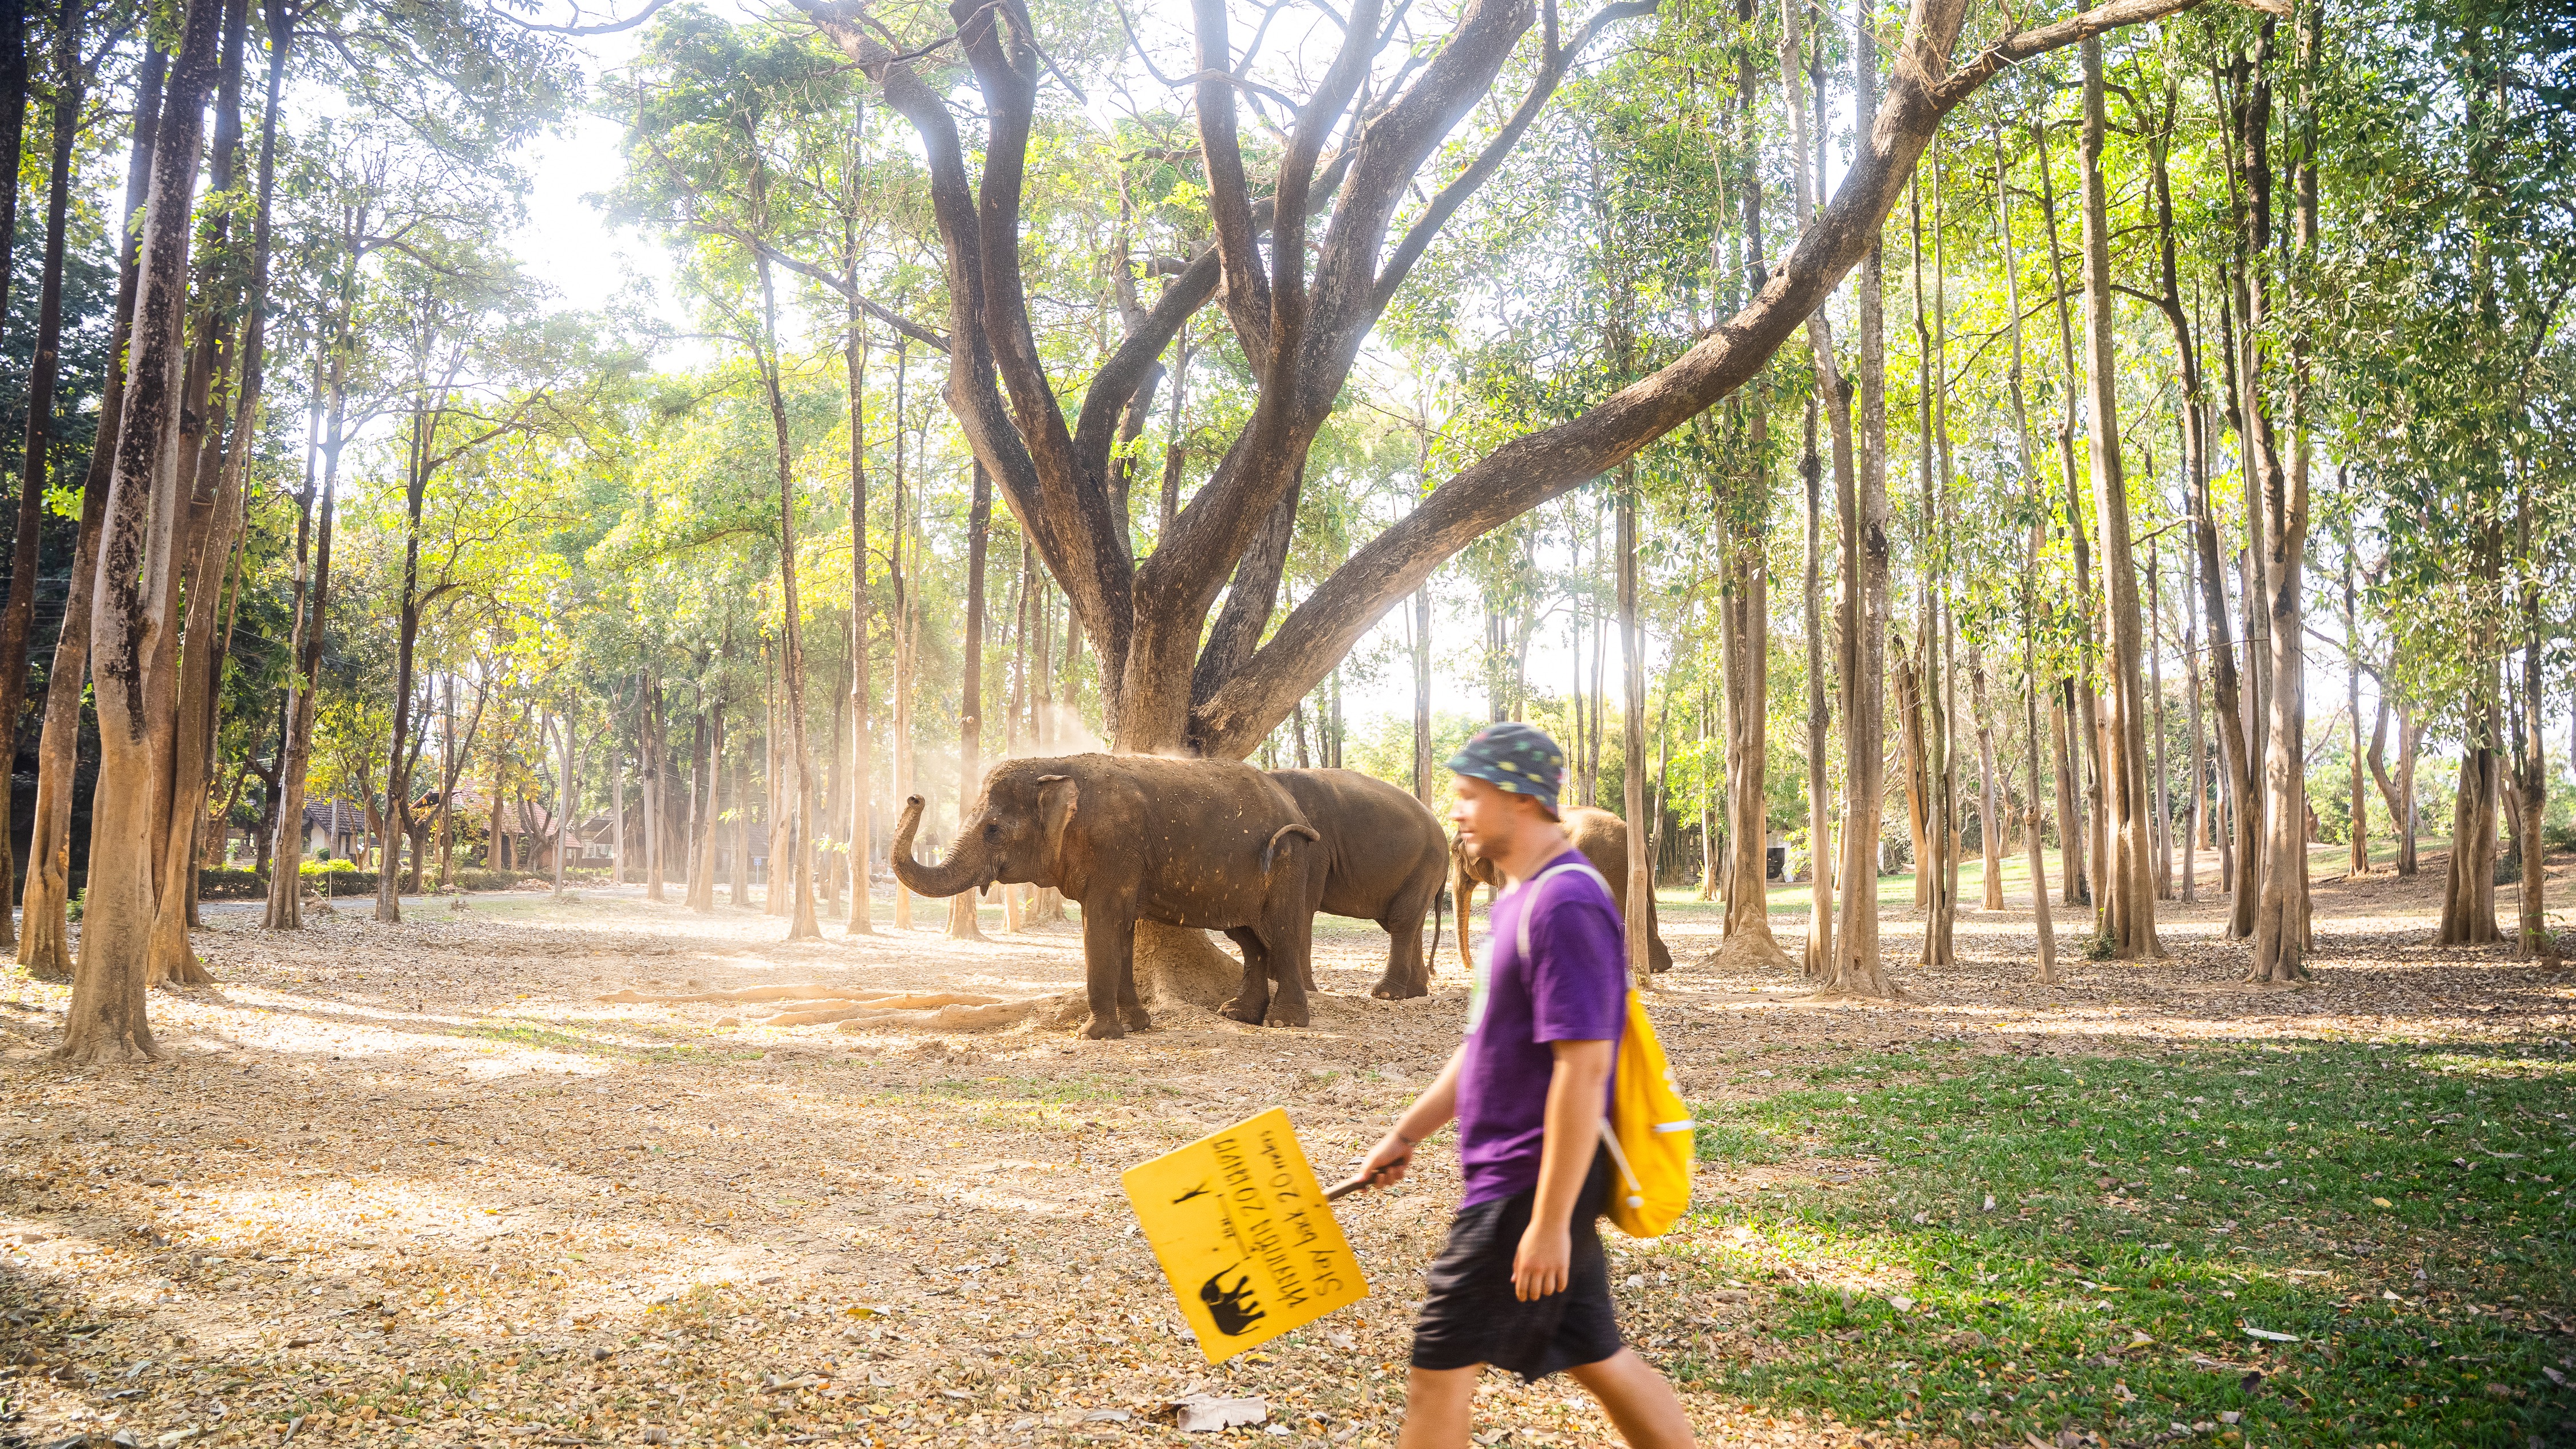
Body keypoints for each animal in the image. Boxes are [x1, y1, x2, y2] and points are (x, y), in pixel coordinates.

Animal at [887, 753, 1322, 1039]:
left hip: (1288, 860)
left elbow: (1101, 925)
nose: (914, 797)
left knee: (1280, 932)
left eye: (993, 830)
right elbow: (1120, 930)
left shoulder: (1116, 849)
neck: (1056, 766)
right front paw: (1134, 1026)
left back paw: (1283, 1023)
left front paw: (1093, 1035)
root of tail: (1295, 807)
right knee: (1250, 938)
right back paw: (1238, 1015)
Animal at [1266, 768, 1451, 1001]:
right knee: (1413, 924)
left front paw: (1306, 990)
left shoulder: (1313, 848)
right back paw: (1414, 993)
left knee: (1402, 921)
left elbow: (1301, 904)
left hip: (1426, 867)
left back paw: (1386, 993)